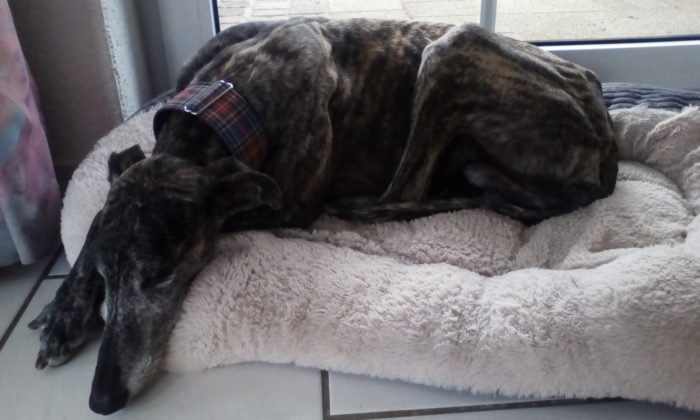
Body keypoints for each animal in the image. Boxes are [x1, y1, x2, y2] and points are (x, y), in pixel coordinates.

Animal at [29, 18, 617, 415]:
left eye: (161, 276)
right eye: (106, 277)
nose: (102, 398)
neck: (227, 98)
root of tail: (607, 146)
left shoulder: (286, 203)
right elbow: (94, 225)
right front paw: (63, 311)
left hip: (453, 50)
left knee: (404, 187)